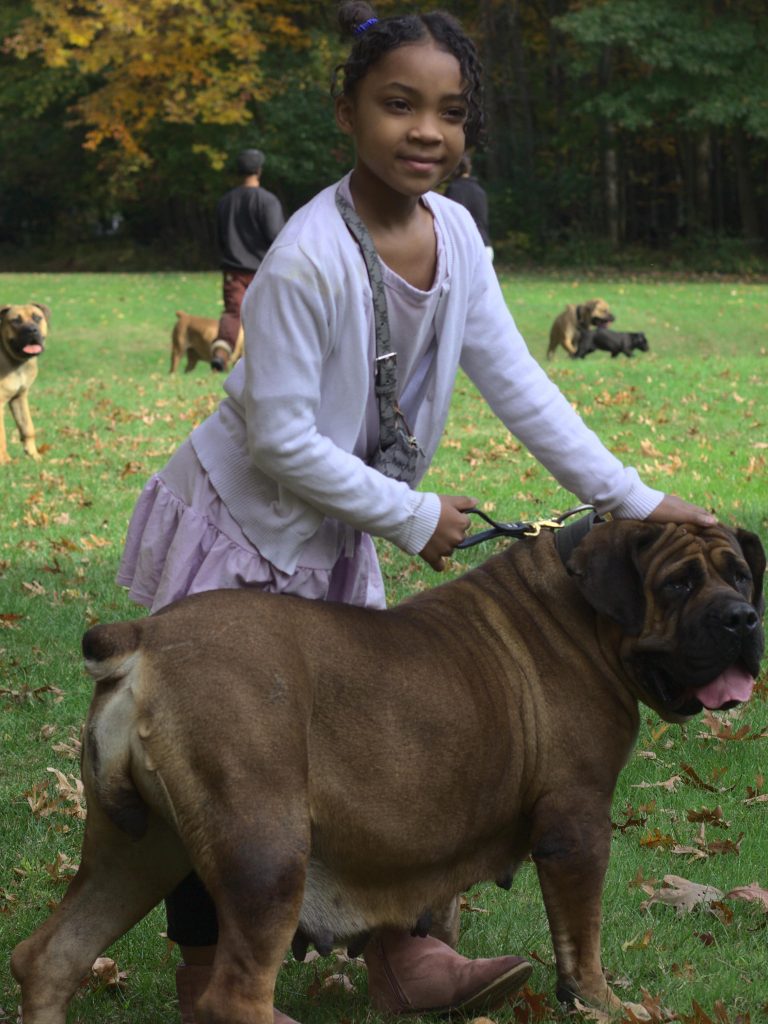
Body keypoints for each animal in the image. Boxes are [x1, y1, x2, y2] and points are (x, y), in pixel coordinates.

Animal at [0, 301, 49, 466]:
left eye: (37, 318)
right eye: (16, 320)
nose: (32, 330)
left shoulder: (19, 397)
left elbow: (27, 427)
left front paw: (34, 455)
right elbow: (1, 436)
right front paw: (5, 461)